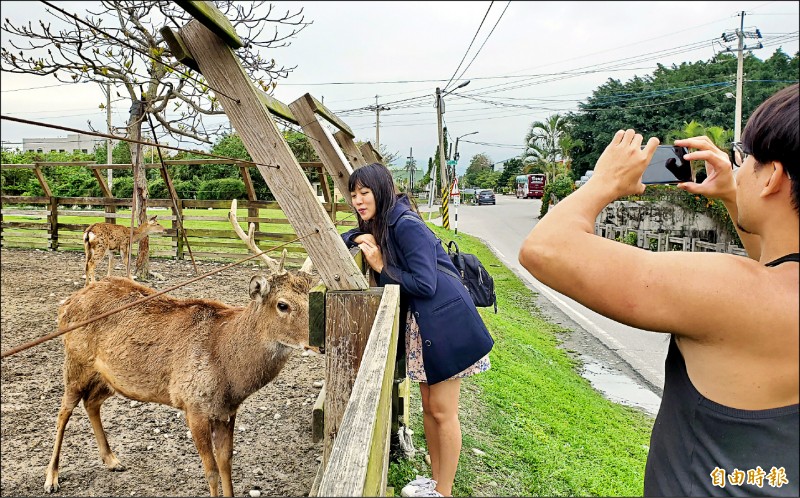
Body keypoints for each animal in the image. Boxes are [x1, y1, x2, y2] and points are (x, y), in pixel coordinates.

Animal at [46, 200, 318, 496]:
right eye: (283, 304)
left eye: (314, 297)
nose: (317, 341)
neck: (230, 374)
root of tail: (65, 305)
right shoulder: (192, 404)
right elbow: (211, 471)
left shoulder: (227, 411)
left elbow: (227, 464)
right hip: (75, 360)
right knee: (63, 411)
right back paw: (52, 477)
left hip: (109, 377)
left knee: (91, 402)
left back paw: (111, 459)